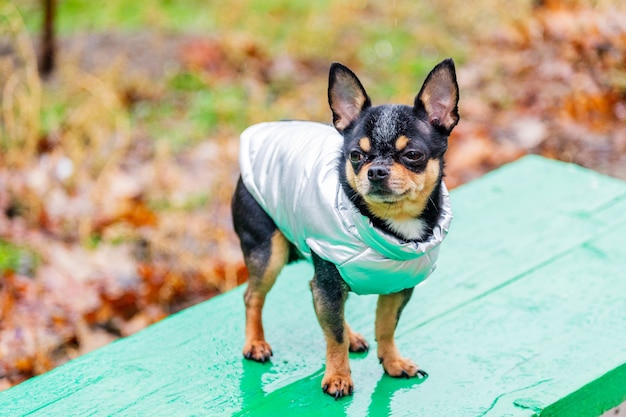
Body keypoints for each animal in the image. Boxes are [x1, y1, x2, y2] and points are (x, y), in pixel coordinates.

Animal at [232, 57, 456, 396]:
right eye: (355, 155)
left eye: (412, 155)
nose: (376, 170)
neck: (391, 228)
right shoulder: (328, 279)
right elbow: (333, 335)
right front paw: (337, 376)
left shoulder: (397, 287)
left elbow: (385, 326)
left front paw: (393, 362)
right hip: (268, 252)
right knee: (252, 296)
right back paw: (255, 343)